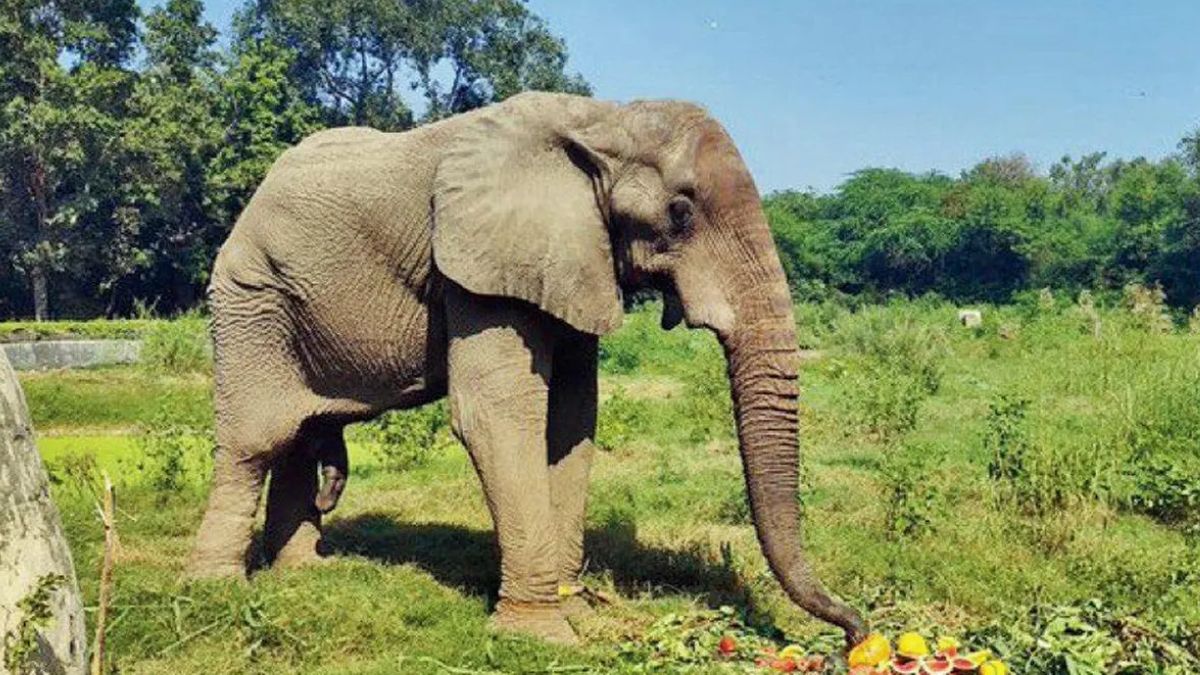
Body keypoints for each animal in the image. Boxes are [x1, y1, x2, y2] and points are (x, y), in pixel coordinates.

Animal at [186, 91, 866, 646]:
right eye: (680, 212)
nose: (857, 631)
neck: (602, 120)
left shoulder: (573, 261)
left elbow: (571, 420)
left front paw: (578, 613)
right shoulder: (480, 265)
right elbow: (499, 413)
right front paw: (543, 636)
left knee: (300, 432)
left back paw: (305, 573)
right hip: (251, 296)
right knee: (258, 437)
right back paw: (218, 588)